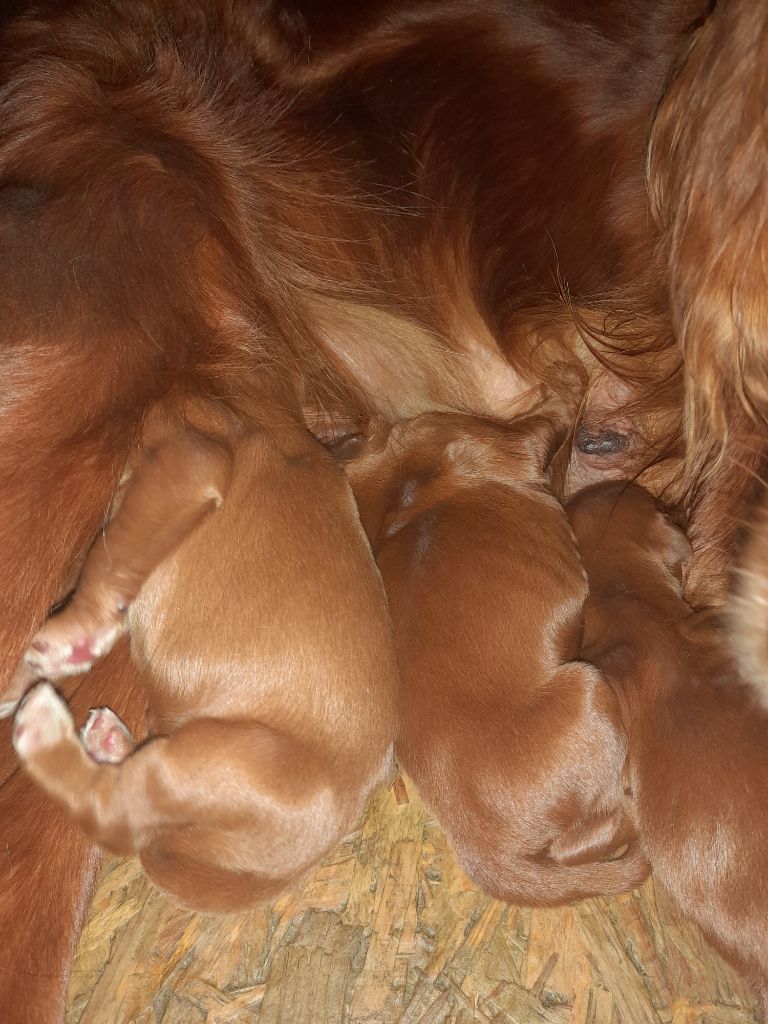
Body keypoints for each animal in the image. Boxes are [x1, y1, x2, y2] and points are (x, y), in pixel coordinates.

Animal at [10, 395, 397, 917]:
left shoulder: (190, 460)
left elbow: (107, 559)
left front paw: (68, 639)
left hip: (222, 761)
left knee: (114, 817)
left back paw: (43, 731)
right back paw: (109, 740)